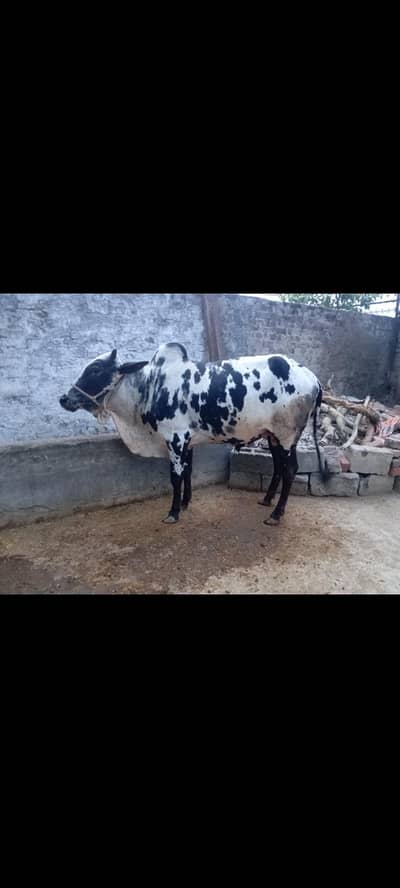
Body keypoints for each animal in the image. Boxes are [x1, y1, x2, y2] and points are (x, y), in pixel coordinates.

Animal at [59, 342, 327, 526]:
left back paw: (276, 514)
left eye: (95, 370)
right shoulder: (186, 441)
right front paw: (186, 502)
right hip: (273, 436)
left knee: (289, 470)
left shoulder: (175, 439)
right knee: (278, 468)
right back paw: (267, 500)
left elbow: (176, 477)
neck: (149, 387)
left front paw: (173, 512)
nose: (64, 398)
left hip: (287, 436)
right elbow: (188, 471)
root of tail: (313, 378)